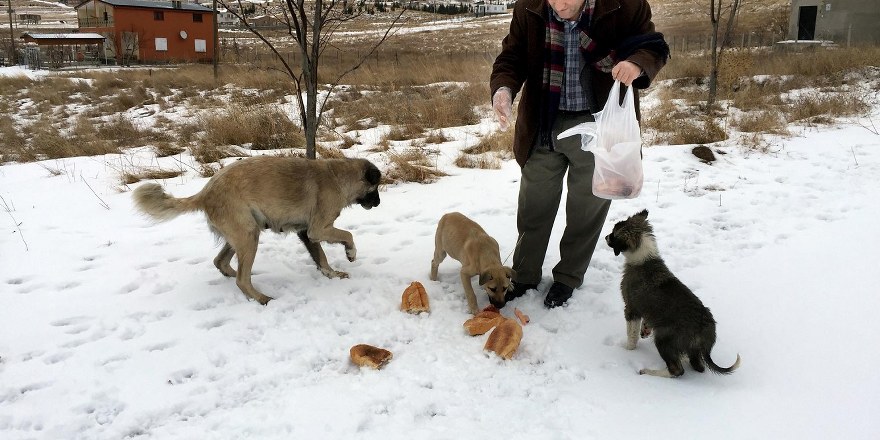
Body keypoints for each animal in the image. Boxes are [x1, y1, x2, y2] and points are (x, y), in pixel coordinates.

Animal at [132, 156, 380, 304]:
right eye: (376, 188)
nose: (378, 204)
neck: (337, 176)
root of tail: (204, 193)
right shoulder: (318, 229)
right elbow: (347, 235)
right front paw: (350, 252)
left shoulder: (306, 233)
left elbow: (322, 259)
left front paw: (332, 274)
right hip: (249, 235)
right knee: (242, 279)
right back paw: (261, 298)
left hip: (242, 235)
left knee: (221, 262)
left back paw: (236, 277)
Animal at [604, 211, 736, 378]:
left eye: (613, 234)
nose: (605, 237)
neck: (644, 259)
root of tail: (704, 329)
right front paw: (645, 330)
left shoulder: (631, 308)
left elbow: (631, 334)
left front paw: (627, 349)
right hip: (687, 348)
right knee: (696, 365)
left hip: (664, 338)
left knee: (677, 370)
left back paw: (649, 371)